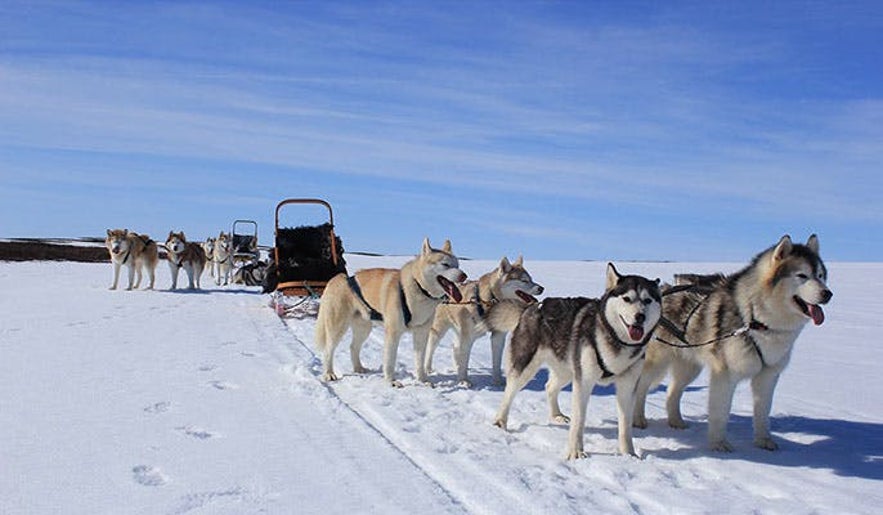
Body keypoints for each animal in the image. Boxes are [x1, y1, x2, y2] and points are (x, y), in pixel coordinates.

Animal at [318, 240, 470, 390]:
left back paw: (358, 368)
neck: (418, 288)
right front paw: (391, 381)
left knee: (353, 347)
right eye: (445, 264)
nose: (464, 276)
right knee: (328, 350)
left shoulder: (421, 334)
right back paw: (329, 373)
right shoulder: (393, 333)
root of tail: (338, 279)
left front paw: (423, 380)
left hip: (364, 329)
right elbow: (390, 360)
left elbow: (420, 360)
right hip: (337, 328)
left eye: (457, 265)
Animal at [424, 256, 544, 390]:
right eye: (524, 280)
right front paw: (463, 380)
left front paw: (498, 382)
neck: (488, 299)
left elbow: (496, 362)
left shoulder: (498, 336)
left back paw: (456, 366)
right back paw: (428, 368)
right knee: (431, 348)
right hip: (439, 330)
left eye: (531, 279)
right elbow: (464, 360)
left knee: (455, 347)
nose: (541, 288)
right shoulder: (467, 338)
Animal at [486, 266, 660, 460]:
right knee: (509, 391)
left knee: (549, 387)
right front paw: (576, 452)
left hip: (566, 370)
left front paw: (628, 454)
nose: (640, 316)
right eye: (627, 298)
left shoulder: (627, 386)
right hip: (526, 367)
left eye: (647, 300)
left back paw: (556, 415)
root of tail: (530, 308)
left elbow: (625, 424)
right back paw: (500, 421)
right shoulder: (583, 382)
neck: (616, 339)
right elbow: (579, 420)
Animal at [636, 236, 836, 454]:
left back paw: (676, 422)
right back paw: (638, 420)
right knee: (640, 388)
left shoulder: (768, 376)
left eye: (820, 275)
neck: (757, 319)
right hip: (656, 362)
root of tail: (662, 290)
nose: (827, 294)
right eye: (802, 275)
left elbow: (763, 412)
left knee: (672, 392)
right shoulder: (724, 374)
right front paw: (718, 443)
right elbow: (720, 412)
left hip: (689, 366)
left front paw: (763, 440)